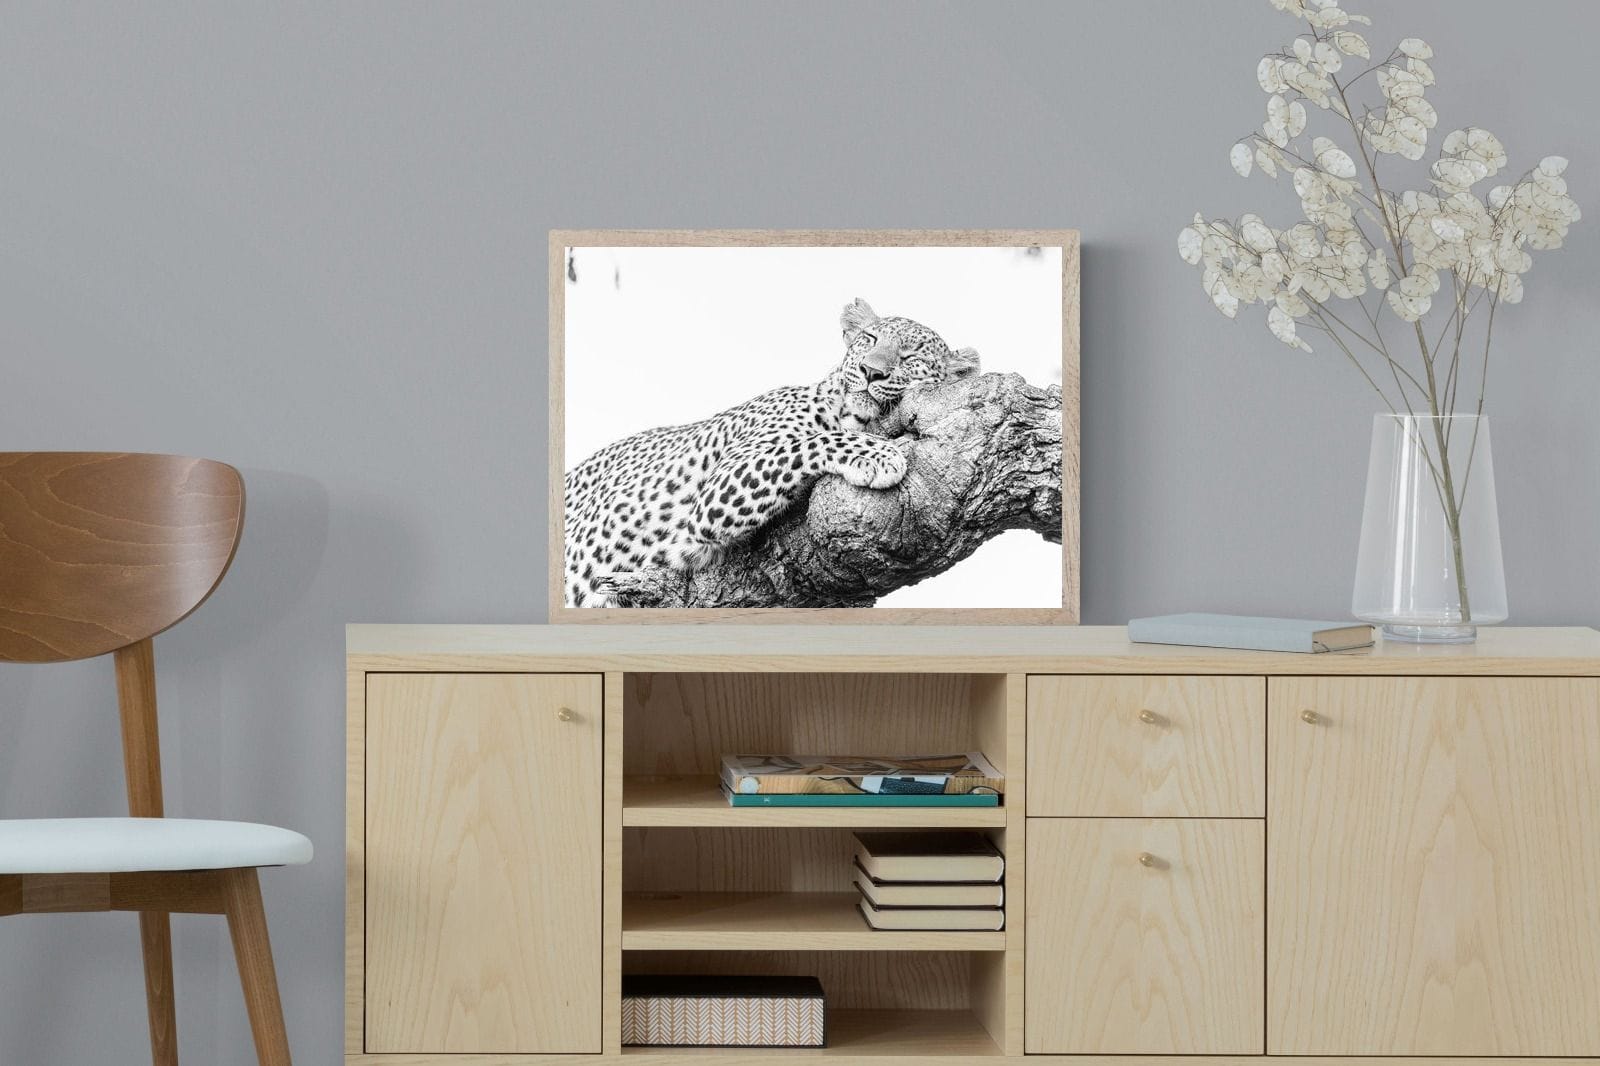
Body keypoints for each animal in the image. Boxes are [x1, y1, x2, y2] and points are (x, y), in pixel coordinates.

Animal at [563, 298, 980, 607]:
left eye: (911, 356)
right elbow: (806, 443)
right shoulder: (716, 493)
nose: (870, 371)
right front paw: (879, 454)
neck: (849, 412)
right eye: (870, 338)